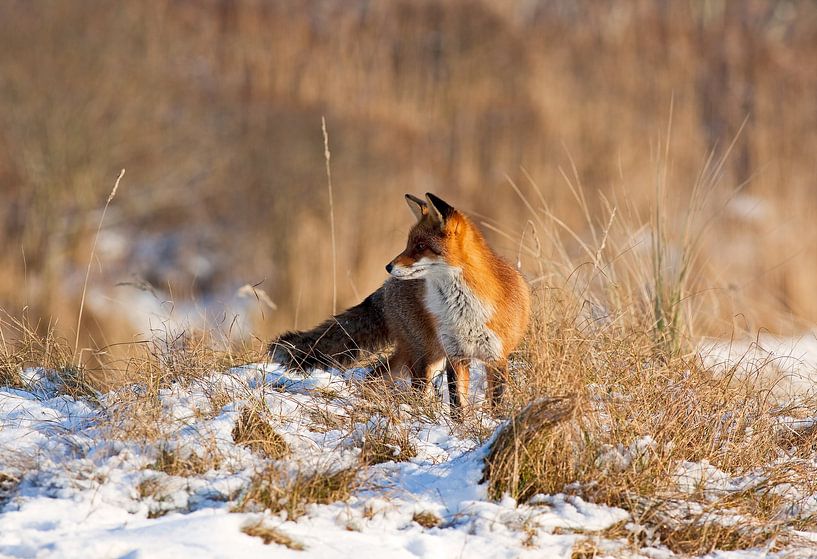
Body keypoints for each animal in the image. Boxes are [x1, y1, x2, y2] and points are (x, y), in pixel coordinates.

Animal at [269, 193, 531, 416]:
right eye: (408, 244)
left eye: (420, 246)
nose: (388, 267)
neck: (465, 309)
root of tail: (386, 287)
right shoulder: (455, 356)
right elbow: (457, 405)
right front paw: (459, 428)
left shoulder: (496, 358)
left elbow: (495, 403)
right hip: (425, 356)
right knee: (389, 379)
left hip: (426, 356)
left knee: (376, 374)